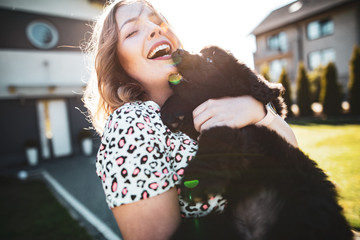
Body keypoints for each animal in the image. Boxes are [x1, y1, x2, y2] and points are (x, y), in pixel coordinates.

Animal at [162, 47, 352, 240]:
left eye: (210, 59)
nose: (178, 50)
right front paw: (171, 110)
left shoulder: (237, 132)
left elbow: (215, 143)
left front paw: (194, 182)